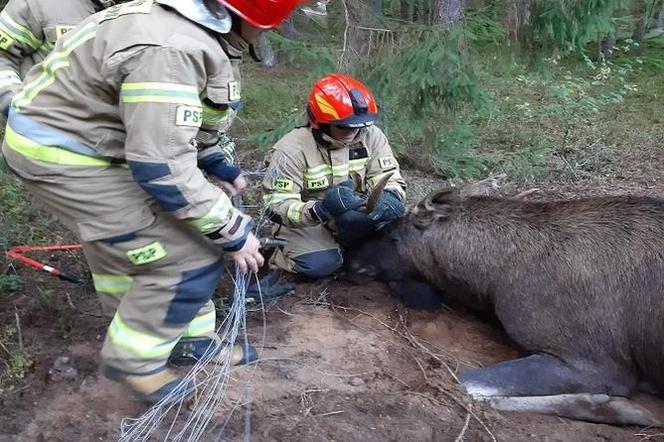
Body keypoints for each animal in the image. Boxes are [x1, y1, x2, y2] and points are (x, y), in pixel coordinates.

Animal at [348, 188, 664, 426]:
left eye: (392, 236)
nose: (351, 260)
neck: (491, 281)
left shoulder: (599, 364)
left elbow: (462, 381)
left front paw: (616, 407)